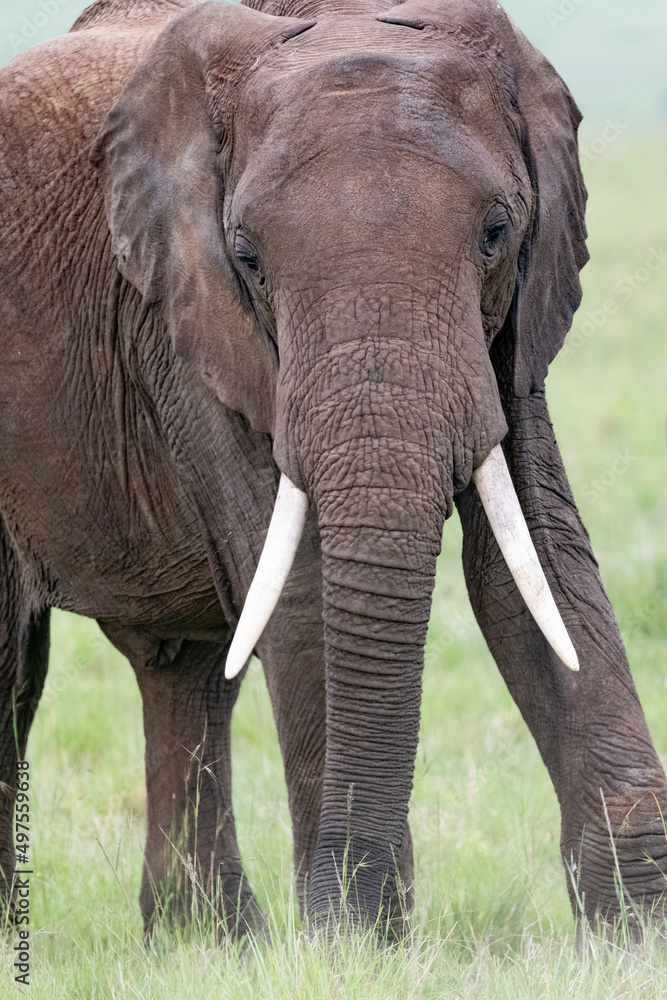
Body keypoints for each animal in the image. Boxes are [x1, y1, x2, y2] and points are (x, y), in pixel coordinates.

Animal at [1, 0, 667, 936]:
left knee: (186, 670)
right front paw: (355, 939)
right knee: (14, 672)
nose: (346, 910)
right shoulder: (187, 323)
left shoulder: (514, 320)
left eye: (496, 232)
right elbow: (305, 582)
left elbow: (534, 559)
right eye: (246, 257)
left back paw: (208, 944)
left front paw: (631, 935)